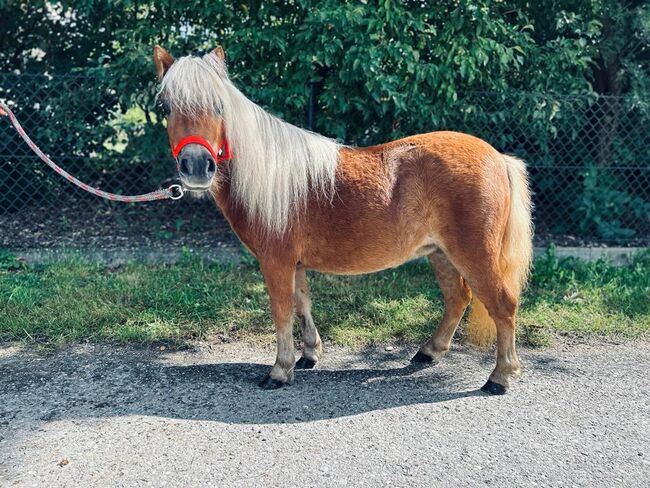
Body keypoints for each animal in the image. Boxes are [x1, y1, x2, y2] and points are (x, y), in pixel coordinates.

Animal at [152, 45, 532, 394]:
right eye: (165, 108)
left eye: (219, 106)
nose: (196, 166)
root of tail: (498, 158)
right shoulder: (295, 264)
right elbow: (302, 305)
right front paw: (309, 355)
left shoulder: (276, 262)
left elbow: (281, 311)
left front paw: (279, 371)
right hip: (440, 254)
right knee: (458, 298)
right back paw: (429, 352)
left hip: (474, 255)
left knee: (503, 305)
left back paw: (499, 377)